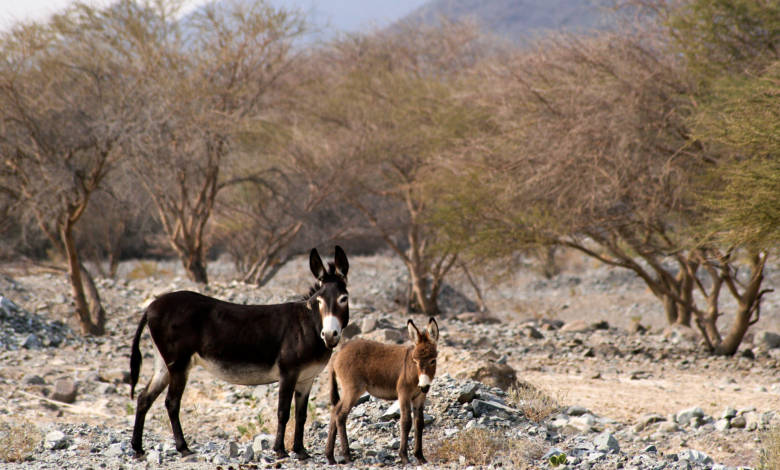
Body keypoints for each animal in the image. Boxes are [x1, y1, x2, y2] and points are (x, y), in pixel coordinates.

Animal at [326, 318, 438, 464]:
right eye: (415, 361)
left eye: (433, 361)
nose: (424, 386)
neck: (413, 372)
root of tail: (338, 352)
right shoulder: (404, 394)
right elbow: (406, 422)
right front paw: (404, 457)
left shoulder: (419, 397)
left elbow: (419, 423)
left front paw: (420, 457)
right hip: (353, 390)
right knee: (340, 415)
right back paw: (347, 455)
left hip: (348, 391)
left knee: (335, 411)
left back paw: (330, 456)